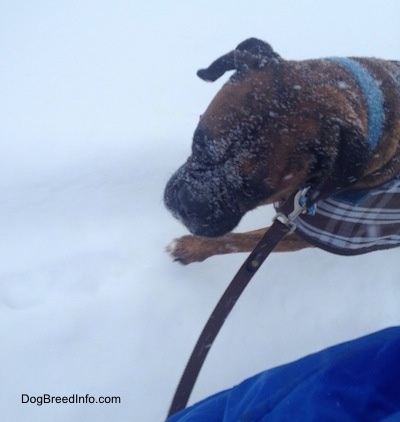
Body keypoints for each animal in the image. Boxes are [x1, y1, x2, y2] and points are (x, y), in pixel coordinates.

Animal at [163, 38, 400, 264]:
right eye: (198, 142)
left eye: (254, 189)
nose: (185, 202)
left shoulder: (305, 234)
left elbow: (240, 241)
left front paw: (191, 248)